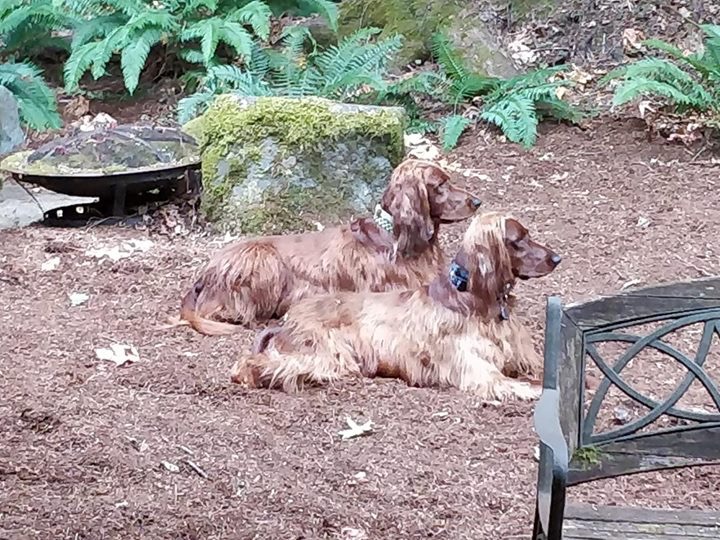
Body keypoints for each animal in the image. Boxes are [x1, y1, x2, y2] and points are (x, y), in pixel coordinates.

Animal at [229, 211, 562, 401]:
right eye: (518, 240)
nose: (557, 258)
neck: (475, 299)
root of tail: (286, 319)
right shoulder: (478, 370)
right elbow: (514, 383)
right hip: (327, 355)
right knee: (251, 364)